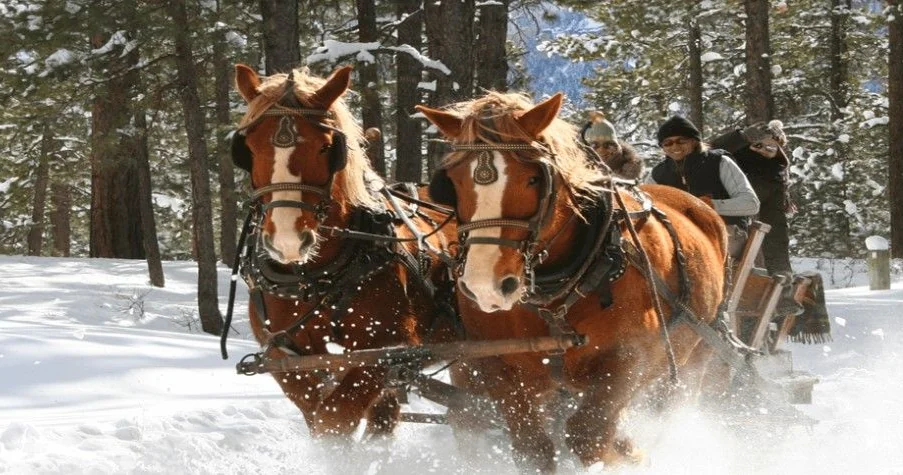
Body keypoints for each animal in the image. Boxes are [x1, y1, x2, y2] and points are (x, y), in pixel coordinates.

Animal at [230, 64, 458, 439]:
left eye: (326, 148)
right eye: (247, 148)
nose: (288, 240)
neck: (316, 277)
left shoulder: (384, 349)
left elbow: (335, 418)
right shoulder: (285, 353)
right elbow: (320, 414)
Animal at [416, 92, 728, 472]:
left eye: (533, 179)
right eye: (453, 182)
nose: (484, 286)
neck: (554, 297)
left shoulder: (630, 359)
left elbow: (588, 434)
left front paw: (628, 453)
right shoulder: (500, 368)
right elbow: (532, 448)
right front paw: (625, 448)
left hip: (696, 353)